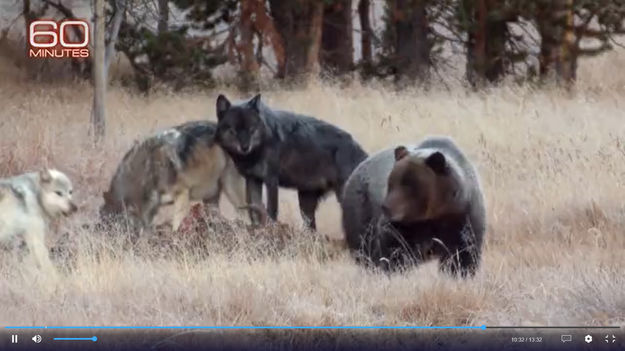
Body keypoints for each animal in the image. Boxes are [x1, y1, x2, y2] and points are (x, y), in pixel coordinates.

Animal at [101, 121, 247, 234]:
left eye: (111, 226)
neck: (148, 170)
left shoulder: (182, 195)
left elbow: (175, 225)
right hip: (211, 198)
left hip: (232, 192)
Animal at [217, 95, 368, 230]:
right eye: (233, 130)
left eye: (251, 129)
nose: (245, 147)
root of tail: (363, 153)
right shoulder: (252, 179)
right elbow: (254, 209)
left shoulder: (271, 180)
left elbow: (271, 211)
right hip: (305, 203)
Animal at [338, 138, 486, 278]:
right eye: (391, 182)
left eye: (409, 184)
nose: (385, 206)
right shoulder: (404, 226)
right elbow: (395, 248)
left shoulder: (463, 216)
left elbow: (462, 252)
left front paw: (458, 274)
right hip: (361, 209)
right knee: (363, 247)